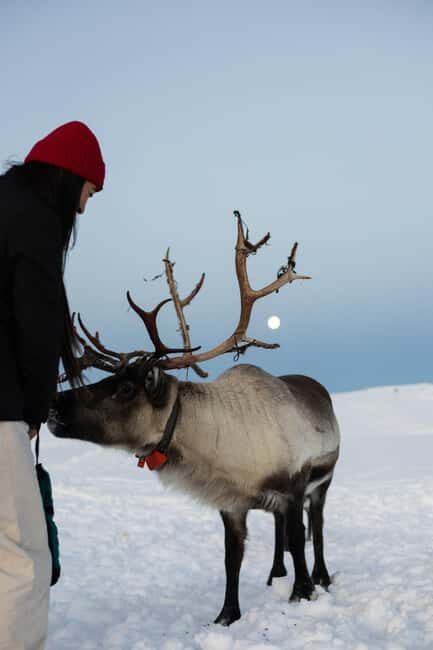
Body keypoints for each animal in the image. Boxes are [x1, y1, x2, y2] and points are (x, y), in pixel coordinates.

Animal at [48, 212, 340, 626]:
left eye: (126, 388)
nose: (54, 402)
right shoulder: (232, 503)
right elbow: (232, 557)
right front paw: (227, 615)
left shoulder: (295, 485)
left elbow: (300, 539)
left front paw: (303, 592)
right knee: (281, 530)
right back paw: (274, 575)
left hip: (323, 483)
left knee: (316, 526)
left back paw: (321, 576)